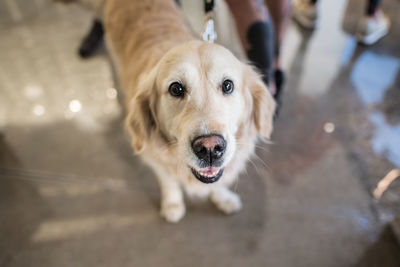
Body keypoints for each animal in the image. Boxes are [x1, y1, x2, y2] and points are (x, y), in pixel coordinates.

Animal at [102, 0, 276, 222]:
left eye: (228, 85)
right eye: (176, 89)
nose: (210, 148)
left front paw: (223, 198)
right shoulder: (154, 157)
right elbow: (168, 181)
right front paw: (172, 204)